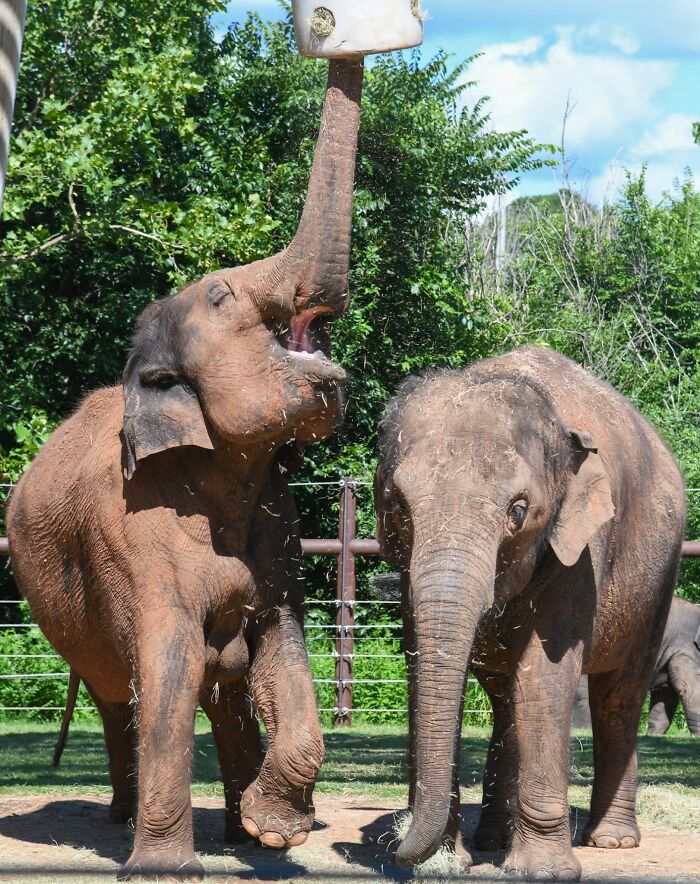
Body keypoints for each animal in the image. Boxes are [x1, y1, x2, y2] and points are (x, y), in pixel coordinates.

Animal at [7, 58, 364, 882]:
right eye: (223, 293)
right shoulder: (134, 528)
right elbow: (167, 664)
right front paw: (166, 868)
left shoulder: (279, 528)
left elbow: (281, 649)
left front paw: (277, 831)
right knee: (124, 694)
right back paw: (122, 820)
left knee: (218, 688)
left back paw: (237, 830)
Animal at [374, 346, 686, 880]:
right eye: (397, 508)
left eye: (518, 511)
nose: (397, 853)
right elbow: (423, 669)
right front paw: (449, 859)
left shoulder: (581, 547)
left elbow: (545, 672)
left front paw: (541, 871)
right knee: (506, 700)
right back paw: (494, 838)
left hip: (658, 579)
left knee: (619, 695)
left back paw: (612, 840)